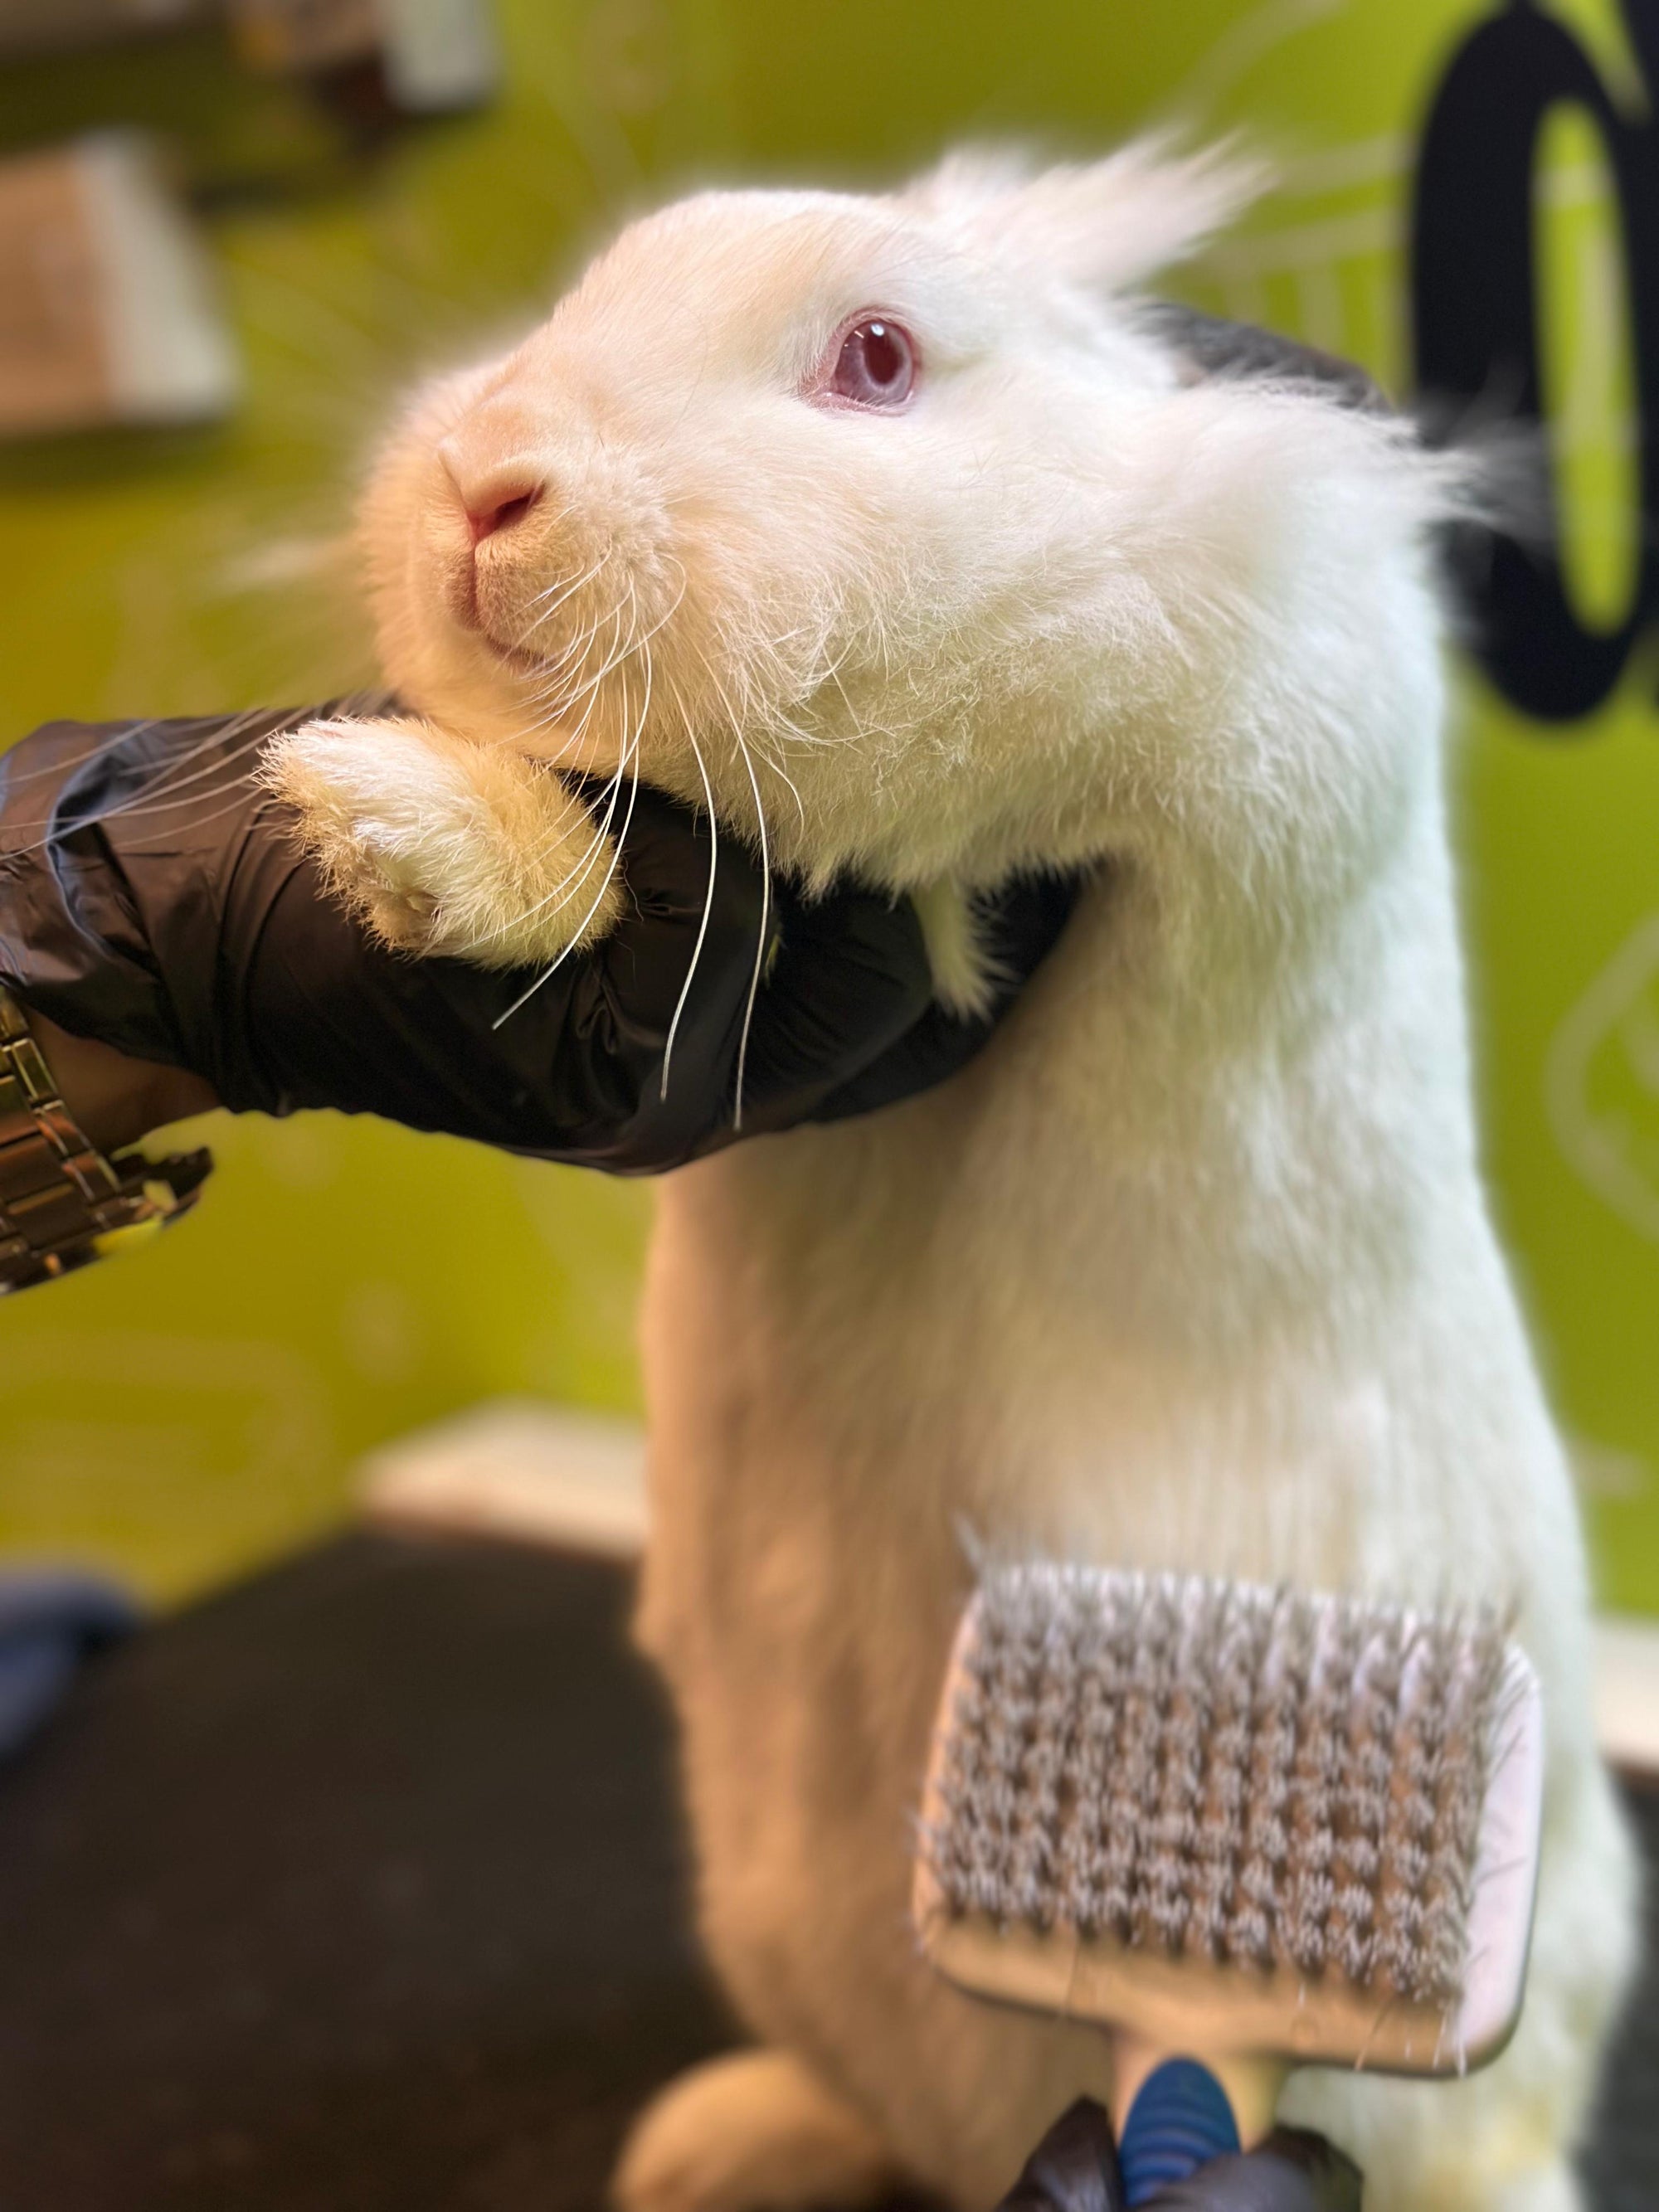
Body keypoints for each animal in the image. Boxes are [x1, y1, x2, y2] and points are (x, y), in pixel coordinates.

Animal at [264, 141, 1638, 2212]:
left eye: (880, 357)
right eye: (593, 288)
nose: (485, 484)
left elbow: (685, 854)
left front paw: (388, 825)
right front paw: (356, 806)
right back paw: (705, 2143)